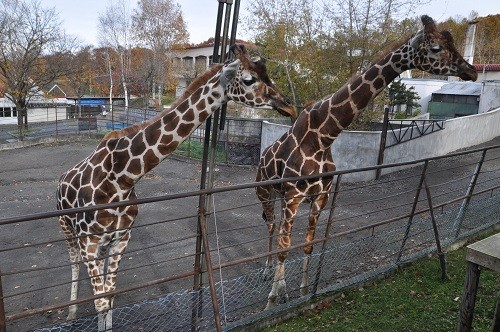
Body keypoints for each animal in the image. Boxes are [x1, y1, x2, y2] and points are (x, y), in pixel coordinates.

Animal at [57, 44, 296, 332]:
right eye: (249, 79)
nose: (289, 106)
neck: (123, 175)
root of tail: (60, 180)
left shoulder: (121, 237)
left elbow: (109, 297)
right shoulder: (88, 241)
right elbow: (101, 300)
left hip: (104, 243)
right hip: (68, 230)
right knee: (73, 261)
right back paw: (70, 313)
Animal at [256, 15, 478, 308]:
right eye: (436, 48)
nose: (472, 71)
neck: (323, 137)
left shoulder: (320, 197)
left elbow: (307, 245)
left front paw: (301, 291)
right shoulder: (293, 196)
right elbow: (284, 249)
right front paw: (271, 300)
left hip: (281, 196)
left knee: (280, 230)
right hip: (265, 191)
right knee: (271, 227)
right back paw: (267, 271)